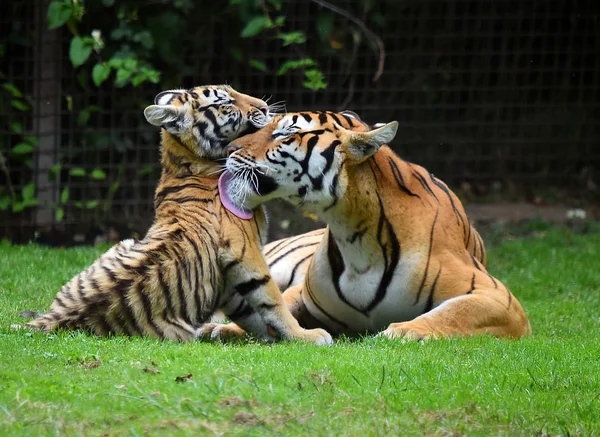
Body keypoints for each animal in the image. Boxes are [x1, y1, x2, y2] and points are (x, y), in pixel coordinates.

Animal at [22, 85, 332, 344]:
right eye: (226, 102)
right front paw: (306, 336)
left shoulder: (225, 277)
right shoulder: (245, 252)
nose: (266, 108)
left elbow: (248, 311)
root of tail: (57, 319)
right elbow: (270, 299)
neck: (188, 161)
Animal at [216, 110, 528, 338]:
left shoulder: (498, 297)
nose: (228, 149)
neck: (353, 233)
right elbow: (277, 306)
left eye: (285, 133)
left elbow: (454, 313)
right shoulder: (303, 294)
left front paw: (404, 331)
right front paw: (227, 329)